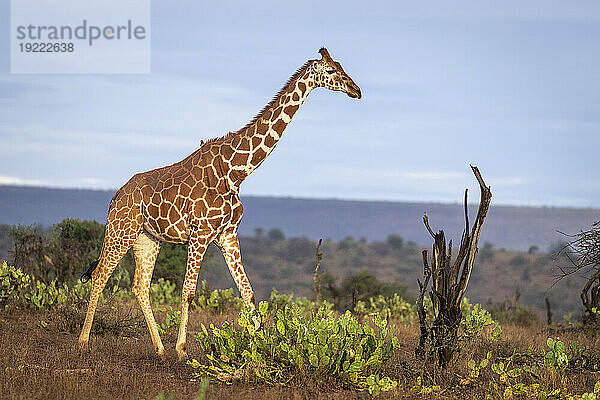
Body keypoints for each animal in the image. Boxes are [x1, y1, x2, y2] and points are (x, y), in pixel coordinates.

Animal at [77, 46, 358, 360]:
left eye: (341, 66)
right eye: (331, 71)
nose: (356, 90)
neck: (235, 172)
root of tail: (116, 196)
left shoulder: (227, 235)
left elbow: (248, 292)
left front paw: (262, 349)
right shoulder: (199, 234)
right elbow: (188, 291)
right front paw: (182, 350)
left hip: (147, 239)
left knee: (140, 286)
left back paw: (159, 349)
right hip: (120, 231)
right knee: (100, 275)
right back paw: (84, 342)